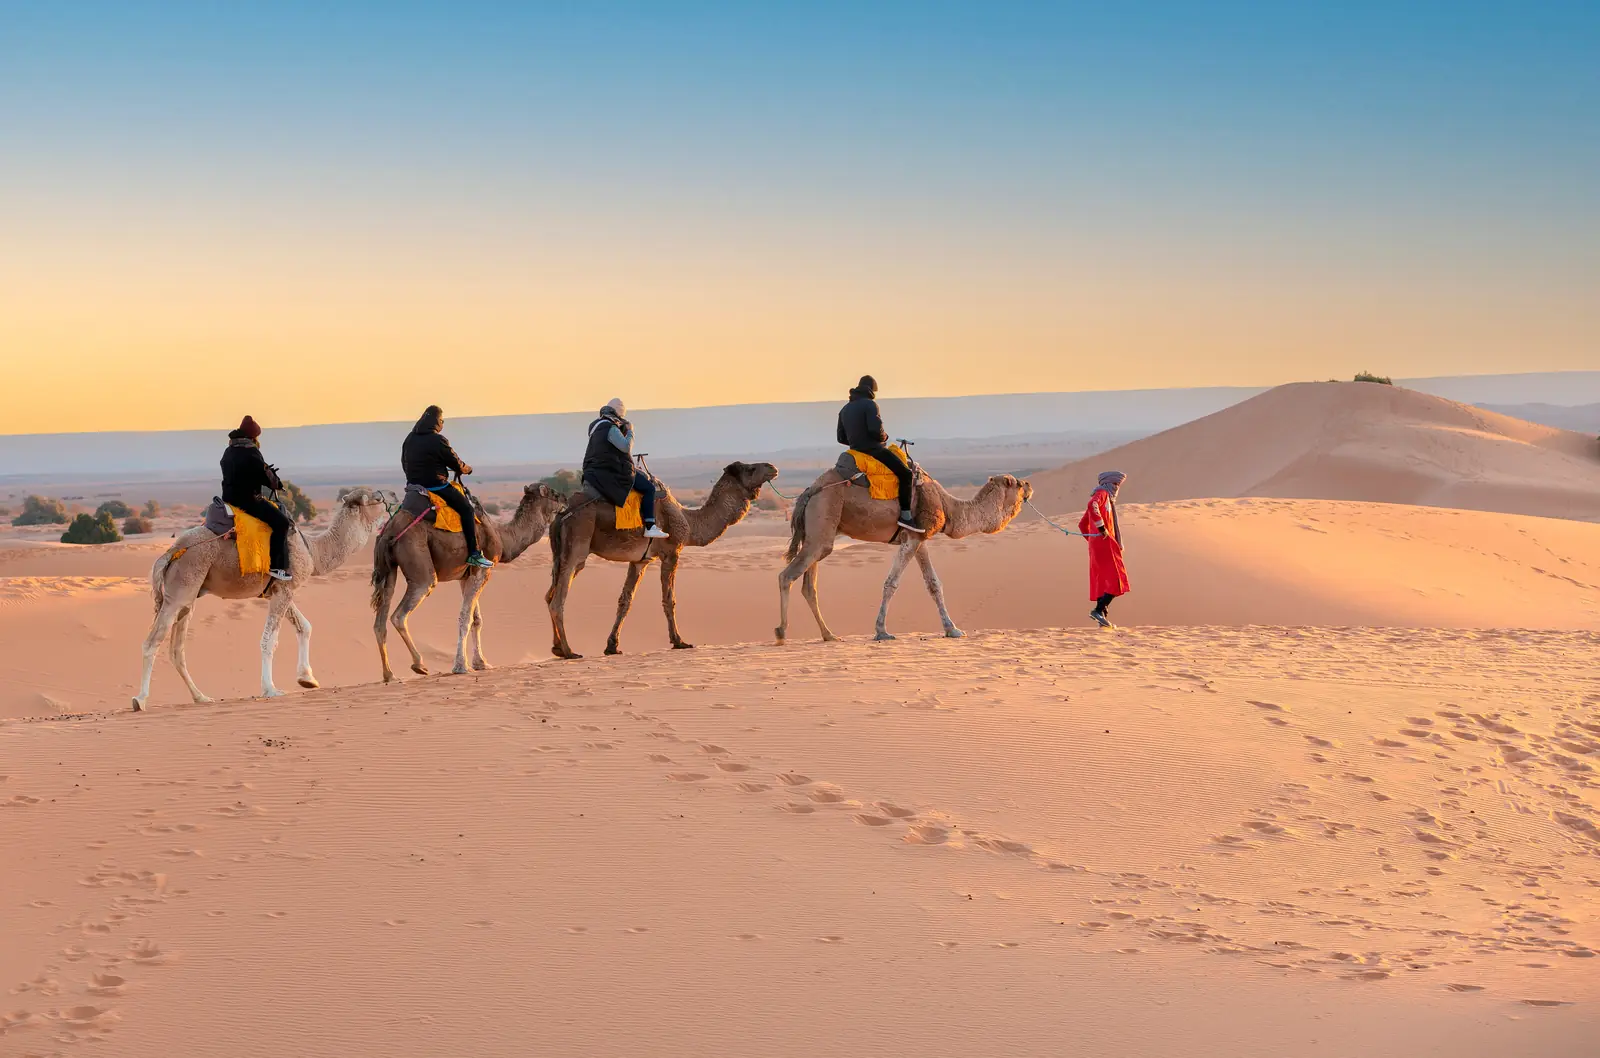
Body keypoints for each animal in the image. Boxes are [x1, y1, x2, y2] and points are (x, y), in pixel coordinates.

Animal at [133, 487, 390, 711]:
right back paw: (140, 700)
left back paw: (201, 697)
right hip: (181, 588)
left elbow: (304, 626)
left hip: (188, 597)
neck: (313, 551)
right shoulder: (285, 589)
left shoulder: (279, 590)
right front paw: (271, 689)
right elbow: (269, 641)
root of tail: (170, 553)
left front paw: (308, 679)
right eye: (377, 499)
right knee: (152, 641)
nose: (393, 500)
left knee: (177, 649)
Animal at [370, 482, 566, 682]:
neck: (501, 536)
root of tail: (389, 532)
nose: (566, 500)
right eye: (554, 493)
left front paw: (481, 663)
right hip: (419, 562)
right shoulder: (483, 569)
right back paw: (419, 664)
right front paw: (461, 666)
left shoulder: (466, 576)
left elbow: (476, 619)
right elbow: (465, 617)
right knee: (400, 614)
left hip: (388, 570)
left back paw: (389, 675)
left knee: (380, 620)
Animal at [545, 461, 779, 659]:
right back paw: (569, 651)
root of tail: (560, 515)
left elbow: (625, 600)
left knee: (550, 595)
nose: (772, 467)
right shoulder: (671, 552)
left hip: (561, 555)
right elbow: (669, 599)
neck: (689, 522)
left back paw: (557, 648)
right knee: (558, 600)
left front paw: (612, 646)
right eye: (750, 469)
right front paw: (679, 641)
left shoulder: (640, 560)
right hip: (577, 545)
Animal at [775, 468, 1032, 643]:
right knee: (786, 576)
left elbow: (933, 584)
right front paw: (881, 631)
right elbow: (891, 583)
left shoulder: (919, 537)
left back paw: (829, 635)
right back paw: (781, 632)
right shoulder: (911, 538)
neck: (948, 507)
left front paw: (952, 629)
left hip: (818, 536)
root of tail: (810, 491)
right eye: (1017, 484)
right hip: (822, 522)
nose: (1030, 484)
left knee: (809, 586)